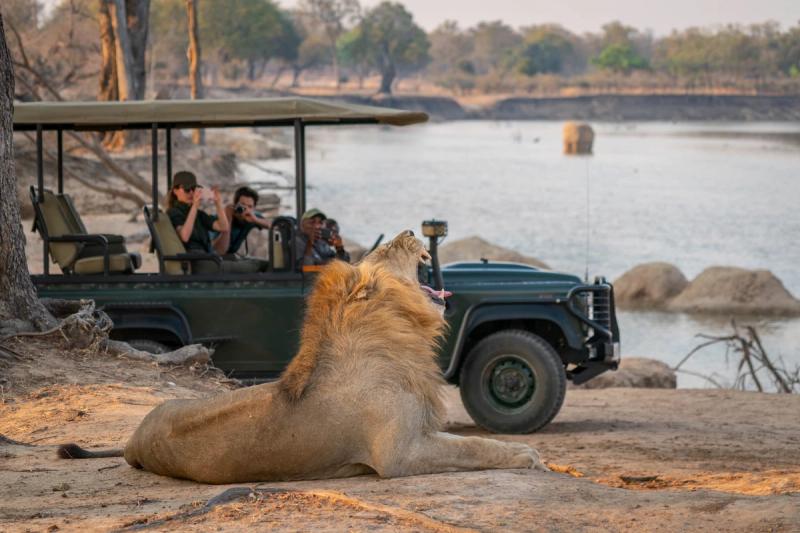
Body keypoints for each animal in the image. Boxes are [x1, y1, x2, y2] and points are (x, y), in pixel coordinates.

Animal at [58, 231, 547, 483]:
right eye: (386, 249)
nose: (411, 233)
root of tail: (132, 442)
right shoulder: (399, 454)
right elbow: (474, 447)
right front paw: (529, 456)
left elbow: (474, 443)